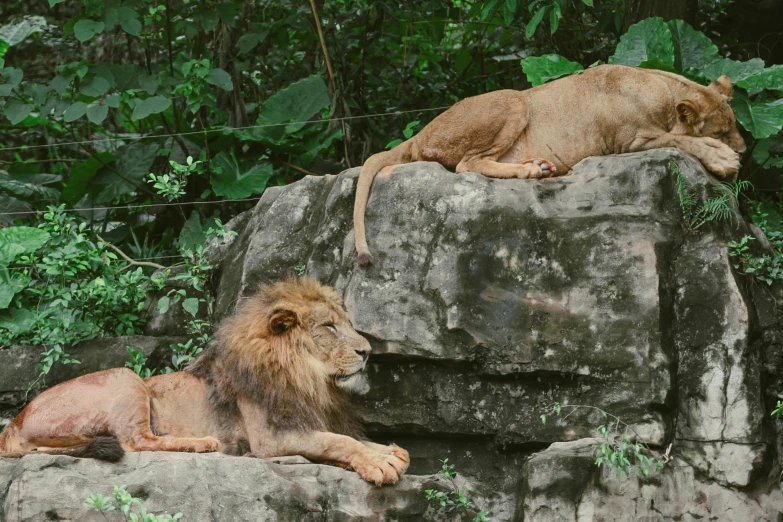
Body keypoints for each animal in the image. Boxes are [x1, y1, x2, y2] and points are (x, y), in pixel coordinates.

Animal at [0, 276, 414, 484]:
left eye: (345, 323)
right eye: (329, 326)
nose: (367, 351)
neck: (305, 375)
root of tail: (13, 423)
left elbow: (352, 439)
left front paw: (388, 451)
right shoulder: (271, 438)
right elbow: (337, 441)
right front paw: (380, 463)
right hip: (125, 376)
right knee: (136, 441)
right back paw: (204, 443)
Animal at [356, 63, 748, 264]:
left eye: (737, 126)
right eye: (723, 131)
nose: (744, 150)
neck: (663, 94)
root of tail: (420, 133)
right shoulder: (632, 140)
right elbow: (683, 140)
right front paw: (723, 158)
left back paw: (542, 166)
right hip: (513, 99)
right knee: (468, 164)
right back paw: (531, 170)